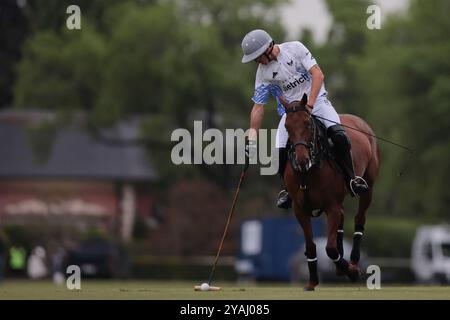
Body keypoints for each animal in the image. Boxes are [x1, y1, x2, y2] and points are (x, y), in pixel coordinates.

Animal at [282, 94, 380, 290]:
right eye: (287, 127)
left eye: (307, 123)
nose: (302, 160)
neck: (309, 172)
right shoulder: (299, 210)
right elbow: (311, 246)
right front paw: (312, 282)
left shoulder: (331, 206)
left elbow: (330, 248)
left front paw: (350, 271)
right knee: (342, 220)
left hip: (369, 186)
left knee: (359, 219)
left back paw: (353, 262)